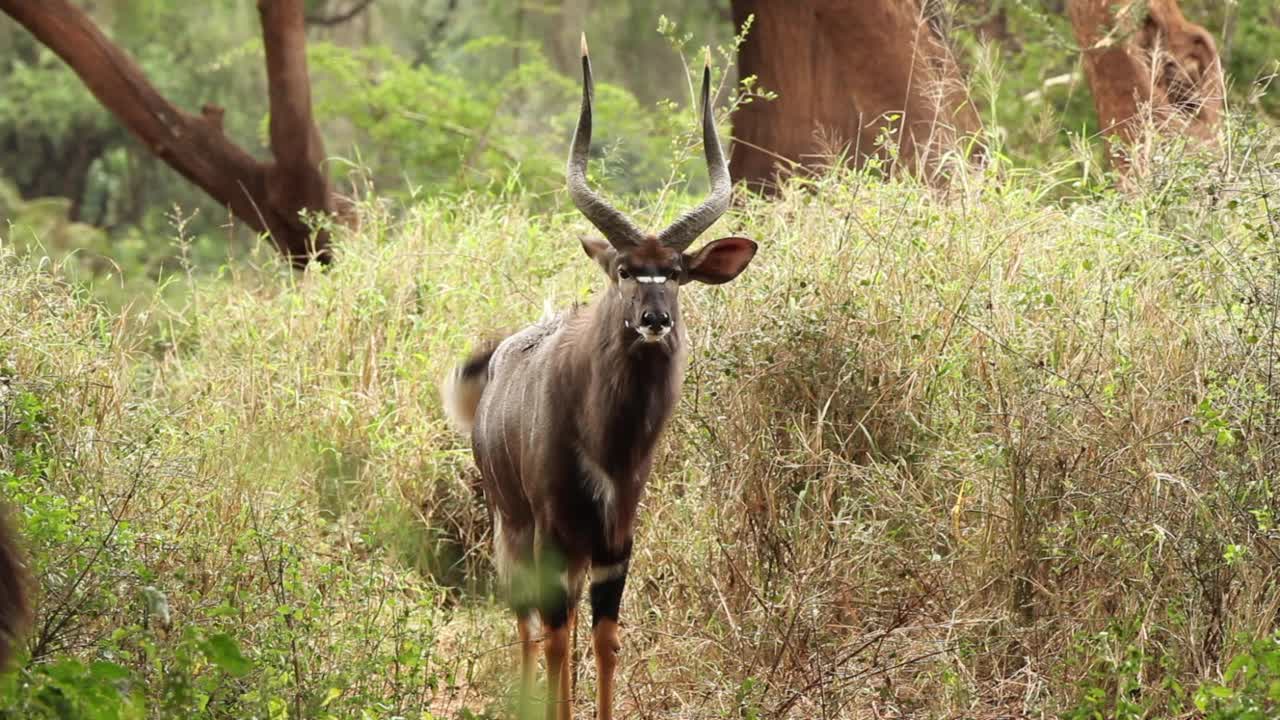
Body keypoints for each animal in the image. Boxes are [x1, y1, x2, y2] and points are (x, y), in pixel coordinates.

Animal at [445, 36, 752, 717]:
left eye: (677, 273)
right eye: (624, 270)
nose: (655, 319)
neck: (608, 441)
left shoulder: (615, 544)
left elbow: (606, 640)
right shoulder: (554, 537)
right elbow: (558, 642)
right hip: (512, 529)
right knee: (529, 629)